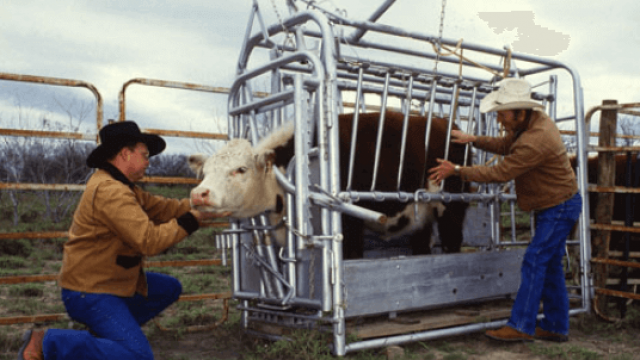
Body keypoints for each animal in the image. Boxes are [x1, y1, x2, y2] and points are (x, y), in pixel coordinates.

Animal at [188, 111, 468, 258]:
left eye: (241, 169)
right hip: (422, 214)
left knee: (453, 240)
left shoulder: (348, 221)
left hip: (451, 206)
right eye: (205, 171)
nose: (199, 194)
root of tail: (446, 123)